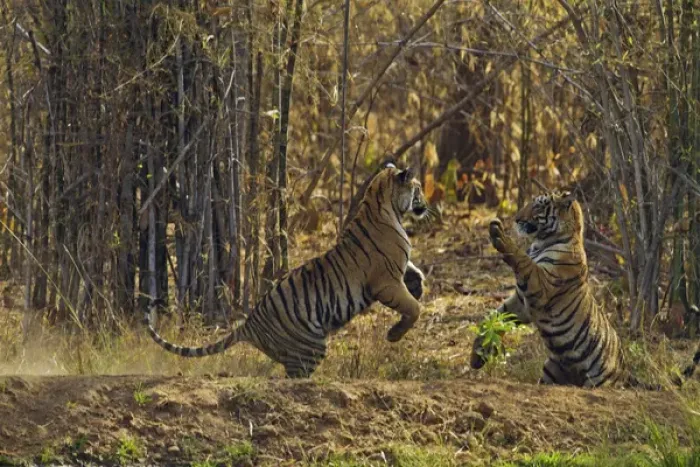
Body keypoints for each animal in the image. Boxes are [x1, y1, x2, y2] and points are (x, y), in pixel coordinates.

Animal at [146, 165, 428, 378]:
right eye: (418, 189)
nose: (425, 204)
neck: (383, 205)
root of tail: (248, 324)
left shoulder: (397, 270)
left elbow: (414, 273)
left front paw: (418, 285)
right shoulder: (386, 282)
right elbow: (414, 308)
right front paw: (394, 334)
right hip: (310, 347)